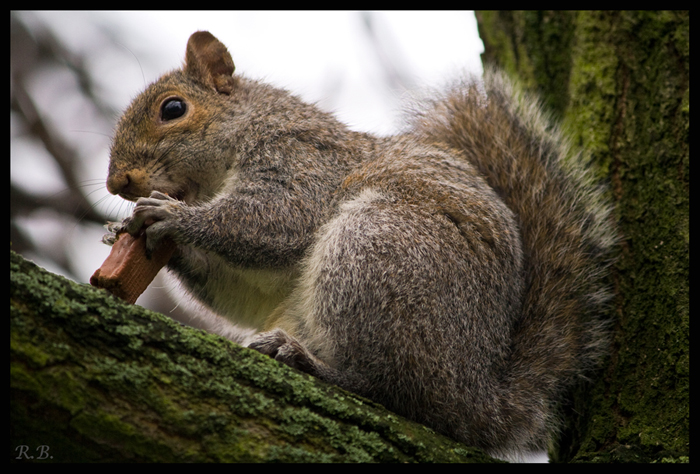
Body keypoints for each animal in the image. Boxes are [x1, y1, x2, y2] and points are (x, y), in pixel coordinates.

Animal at [106, 30, 616, 460]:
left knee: (389, 390)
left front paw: (174, 218)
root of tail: (475, 396)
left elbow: (273, 222)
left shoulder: (302, 162)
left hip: (374, 252)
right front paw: (138, 237)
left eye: (173, 109)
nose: (117, 183)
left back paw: (309, 363)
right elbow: (243, 289)